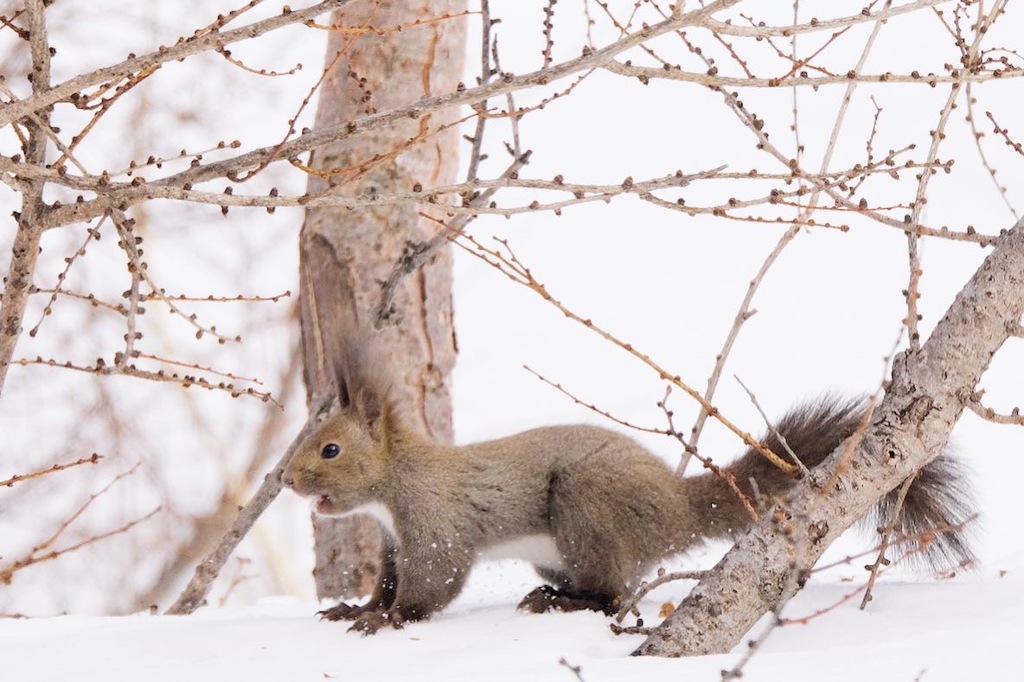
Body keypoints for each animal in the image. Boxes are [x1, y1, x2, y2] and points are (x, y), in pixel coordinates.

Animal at [282, 366, 974, 630]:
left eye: (330, 449)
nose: (286, 480)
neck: (393, 487)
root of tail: (676, 505)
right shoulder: (394, 541)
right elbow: (387, 580)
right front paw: (355, 608)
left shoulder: (433, 524)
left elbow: (434, 584)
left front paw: (386, 620)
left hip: (585, 507)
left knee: (616, 594)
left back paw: (561, 603)